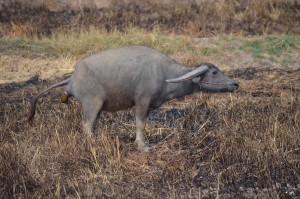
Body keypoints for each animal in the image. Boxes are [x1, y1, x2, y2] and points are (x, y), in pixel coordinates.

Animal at [28, 45, 239, 150]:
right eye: (214, 72)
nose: (235, 84)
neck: (165, 73)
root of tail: (72, 78)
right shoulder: (142, 101)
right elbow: (140, 124)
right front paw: (142, 145)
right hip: (92, 104)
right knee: (86, 126)